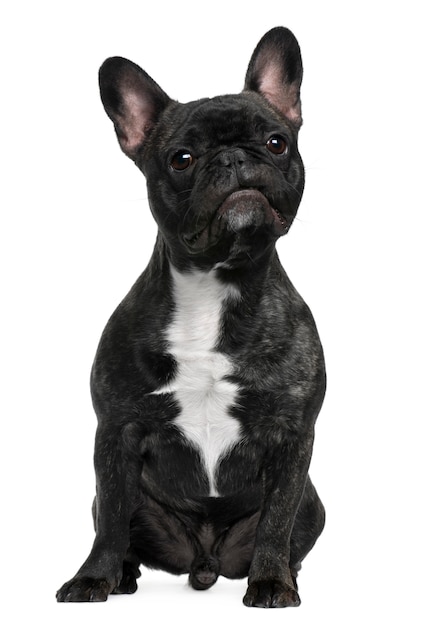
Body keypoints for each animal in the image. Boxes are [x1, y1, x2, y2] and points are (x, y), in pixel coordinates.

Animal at [58, 26, 328, 608]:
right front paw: (92, 578)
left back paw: (286, 576)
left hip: (315, 504)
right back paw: (122, 577)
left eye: (277, 142)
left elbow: (276, 519)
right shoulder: (116, 431)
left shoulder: (293, 436)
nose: (233, 159)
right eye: (181, 158)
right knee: (116, 520)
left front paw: (272, 582)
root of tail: (204, 563)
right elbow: (111, 520)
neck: (215, 283)